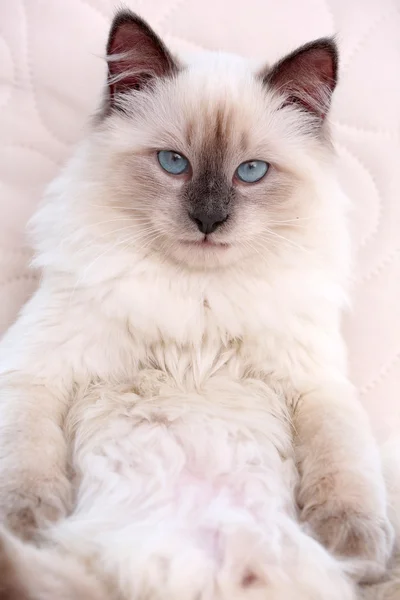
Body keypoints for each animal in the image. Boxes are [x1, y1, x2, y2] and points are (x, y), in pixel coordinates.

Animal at [0, 9, 396, 600]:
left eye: (251, 171)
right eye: (173, 163)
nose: (209, 219)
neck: (199, 302)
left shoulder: (316, 387)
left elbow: (344, 468)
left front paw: (352, 545)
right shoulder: (33, 374)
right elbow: (24, 463)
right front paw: (30, 519)